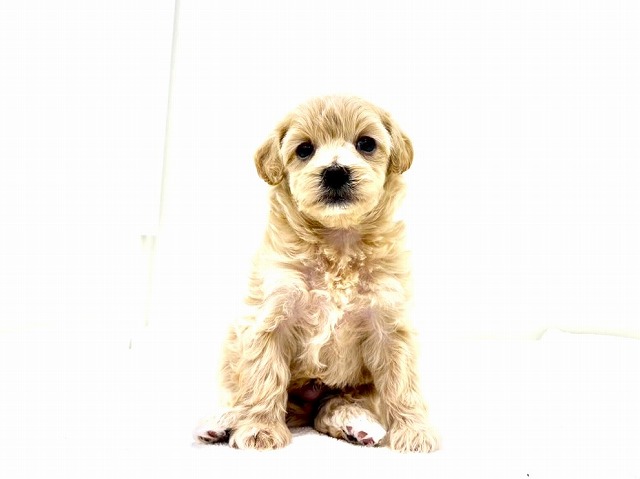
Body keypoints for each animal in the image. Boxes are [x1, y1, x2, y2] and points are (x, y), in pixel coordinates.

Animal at [193, 95, 440, 452]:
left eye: (366, 144)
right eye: (304, 149)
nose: (335, 173)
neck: (337, 241)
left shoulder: (390, 323)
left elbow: (403, 382)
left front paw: (415, 431)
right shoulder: (270, 315)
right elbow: (263, 375)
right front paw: (259, 429)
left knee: (335, 407)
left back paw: (357, 424)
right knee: (237, 394)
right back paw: (221, 422)